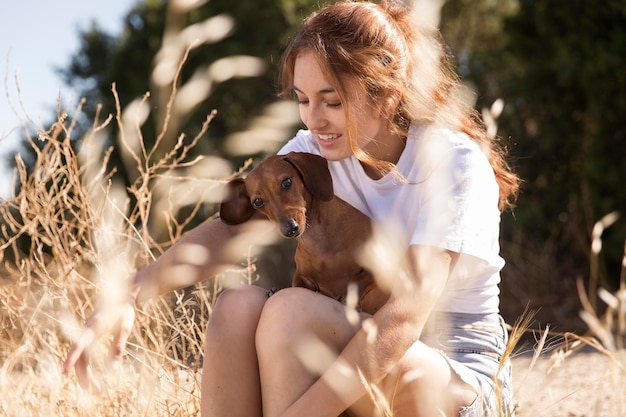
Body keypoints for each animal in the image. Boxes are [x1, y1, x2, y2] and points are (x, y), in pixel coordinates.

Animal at [219, 151, 386, 314]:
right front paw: (277, 289)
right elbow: (297, 285)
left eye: (286, 182)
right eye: (257, 202)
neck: (320, 241)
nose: (290, 229)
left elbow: (362, 278)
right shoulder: (301, 276)